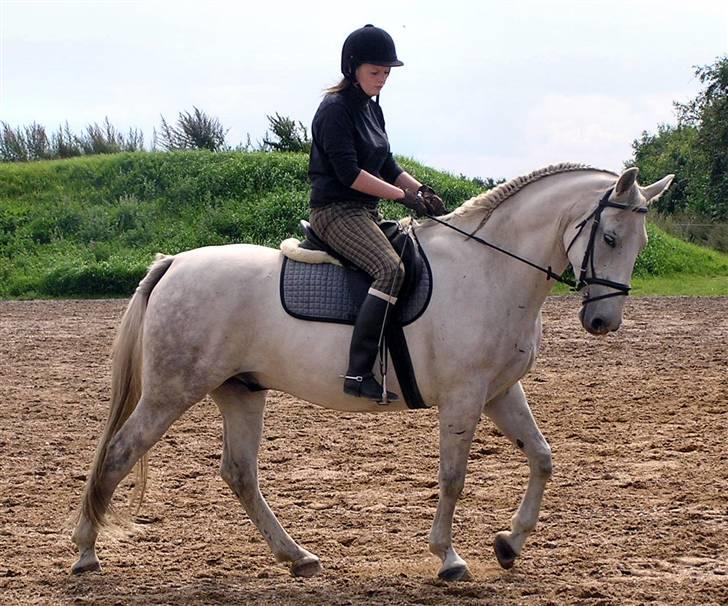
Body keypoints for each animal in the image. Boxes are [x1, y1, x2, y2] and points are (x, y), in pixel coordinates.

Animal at [71, 164, 672, 580]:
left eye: (641, 243)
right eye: (610, 238)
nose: (602, 321)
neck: (490, 269)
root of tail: (173, 262)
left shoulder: (500, 391)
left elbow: (543, 458)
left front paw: (510, 543)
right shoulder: (465, 395)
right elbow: (453, 476)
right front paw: (449, 558)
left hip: (240, 391)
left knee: (240, 474)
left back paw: (298, 557)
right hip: (171, 393)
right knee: (119, 454)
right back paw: (85, 554)